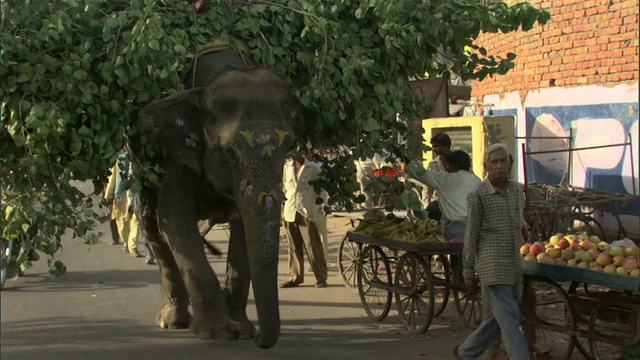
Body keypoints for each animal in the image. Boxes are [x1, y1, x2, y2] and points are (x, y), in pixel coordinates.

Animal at [129, 45, 304, 348]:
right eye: (230, 152)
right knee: (153, 225)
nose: (260, 338)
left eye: (289, 146)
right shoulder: (177, 156)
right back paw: (172, 321)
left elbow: (243, 230)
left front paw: (242, 330)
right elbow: (174, 220)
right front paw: (218, 333)